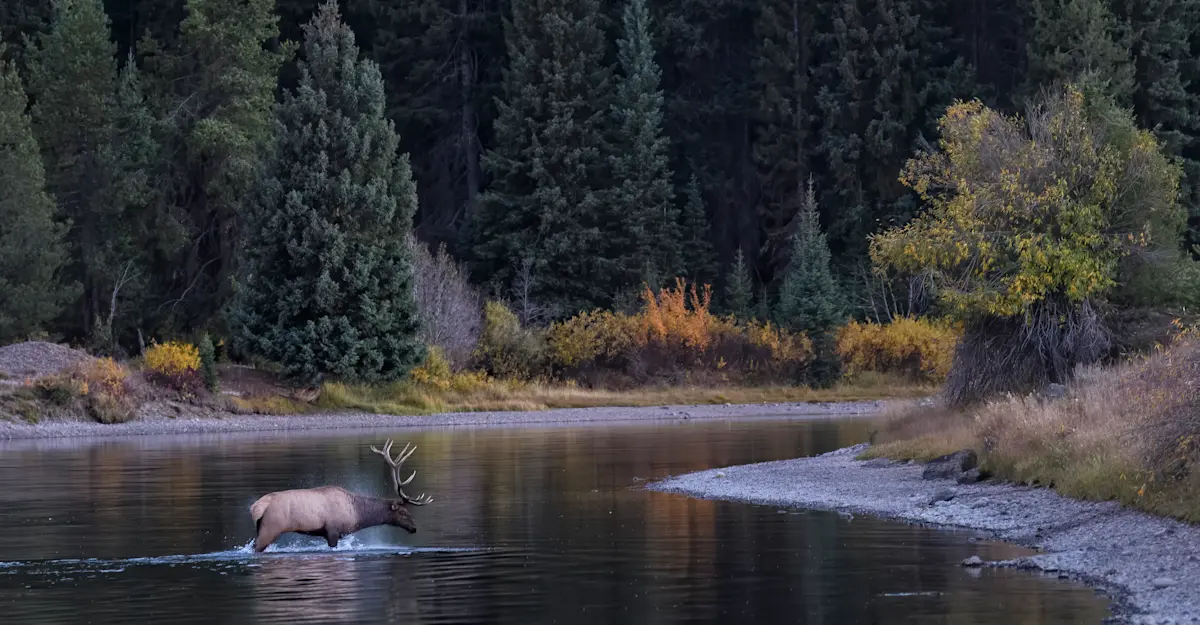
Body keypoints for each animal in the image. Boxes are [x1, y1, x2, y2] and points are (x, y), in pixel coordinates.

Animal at [249, 439, 434, 552]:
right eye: (403, 512)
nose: (414, 528)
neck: (356, 514)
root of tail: (256, 507)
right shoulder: (332, 530)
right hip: (271, 527)